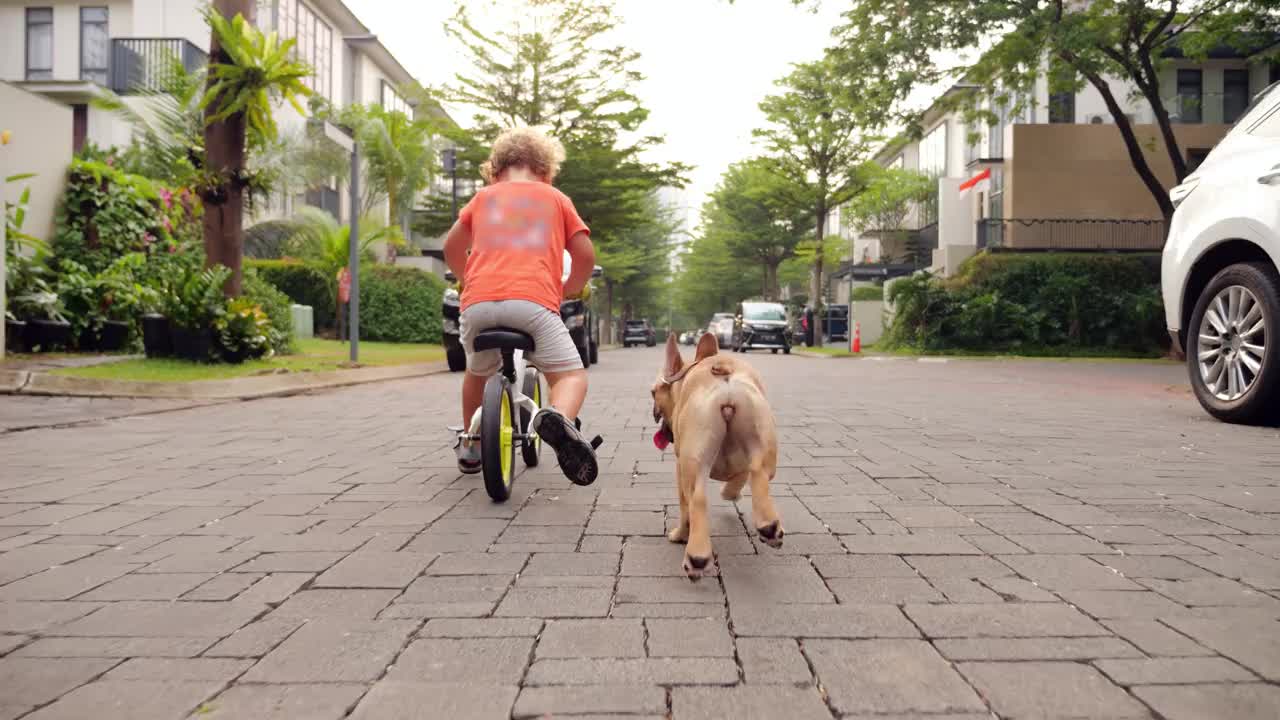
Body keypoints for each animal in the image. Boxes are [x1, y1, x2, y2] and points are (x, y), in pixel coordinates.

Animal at [650, 333, 778, 576]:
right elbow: (738, 479)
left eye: (653, 392)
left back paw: (696, 557)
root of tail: (722, 372)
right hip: (762, 442)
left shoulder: (680, 468)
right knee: (759, 474)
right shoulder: (741, 464)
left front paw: (680, 535)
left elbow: (685, 510)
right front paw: (730, 494)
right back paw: (769, 526)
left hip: (692, 464)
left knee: (697, 500)